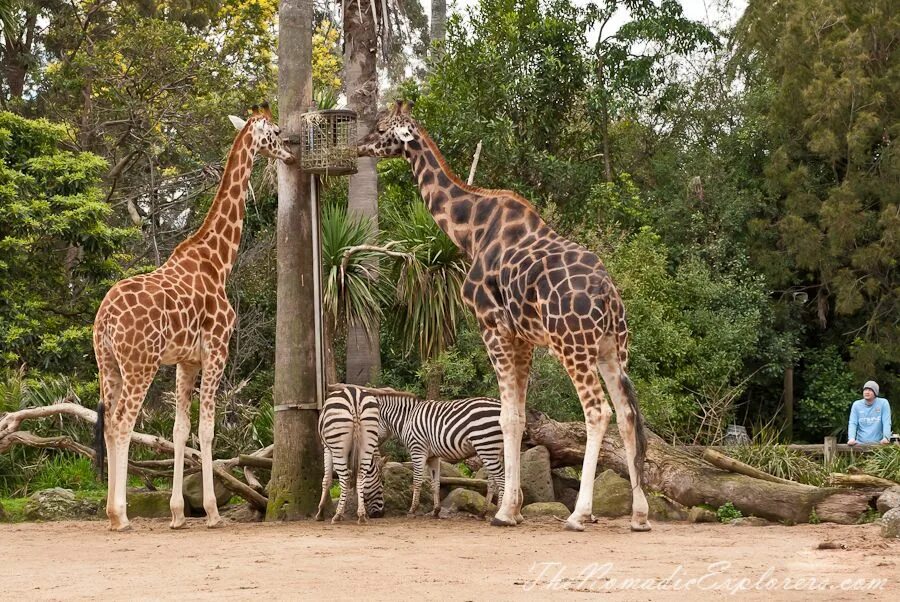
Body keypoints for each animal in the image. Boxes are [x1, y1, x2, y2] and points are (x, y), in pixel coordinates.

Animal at [92, 105, 296, 528]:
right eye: (275, 131)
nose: (290, 152)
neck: (219, 261)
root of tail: (104, 319)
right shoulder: (217, 349)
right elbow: (206, 429)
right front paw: (214, 512)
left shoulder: (186, 361)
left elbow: (179, 429)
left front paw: (177, 513)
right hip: (140, 364)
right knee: (121, 423)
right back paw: (121, 515)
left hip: (108, 365)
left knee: (106, 425)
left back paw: (111, 513)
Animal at [316, 384, 384, 520]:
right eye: (381, 486)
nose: (381, 514)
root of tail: (354, 398)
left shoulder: (327, 448)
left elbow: (327, 479)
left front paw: (321, 512)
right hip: (367, 442)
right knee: (360, 476)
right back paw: (361, 516)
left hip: (338, 447)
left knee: (344, 478)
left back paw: (337, 516)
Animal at [366, 386, 506, 516]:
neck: (407, 420)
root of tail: (500, 406)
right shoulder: (432, 457)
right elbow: (435, 483)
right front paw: (436, 510)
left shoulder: (418, 450)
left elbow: (417, 480)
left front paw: (413, 509)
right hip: (493, 450)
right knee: (493, 482)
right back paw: (483, 513)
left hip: (486, 446)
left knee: (502, 479)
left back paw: (499, 512)